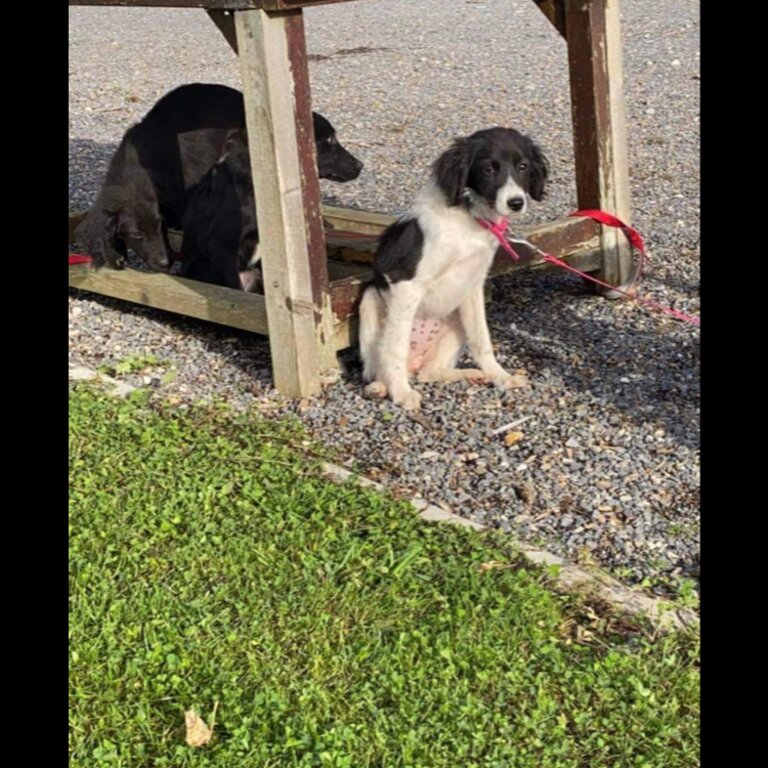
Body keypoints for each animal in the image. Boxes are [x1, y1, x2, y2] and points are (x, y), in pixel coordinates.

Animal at [358, 129, 544, 412]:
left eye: (522, 166)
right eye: (489, 168)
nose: (516, 203)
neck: (468, 221)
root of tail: (415, 364)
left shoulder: (474, 285)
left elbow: (482, 338)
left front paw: (500, 377)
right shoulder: (406, 284)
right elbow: (396, 347)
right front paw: (401, 393)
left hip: (454, 316)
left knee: (429, 373)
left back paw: (468, 374)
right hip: (369, 302)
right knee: (378, 365)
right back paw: (382, 386)